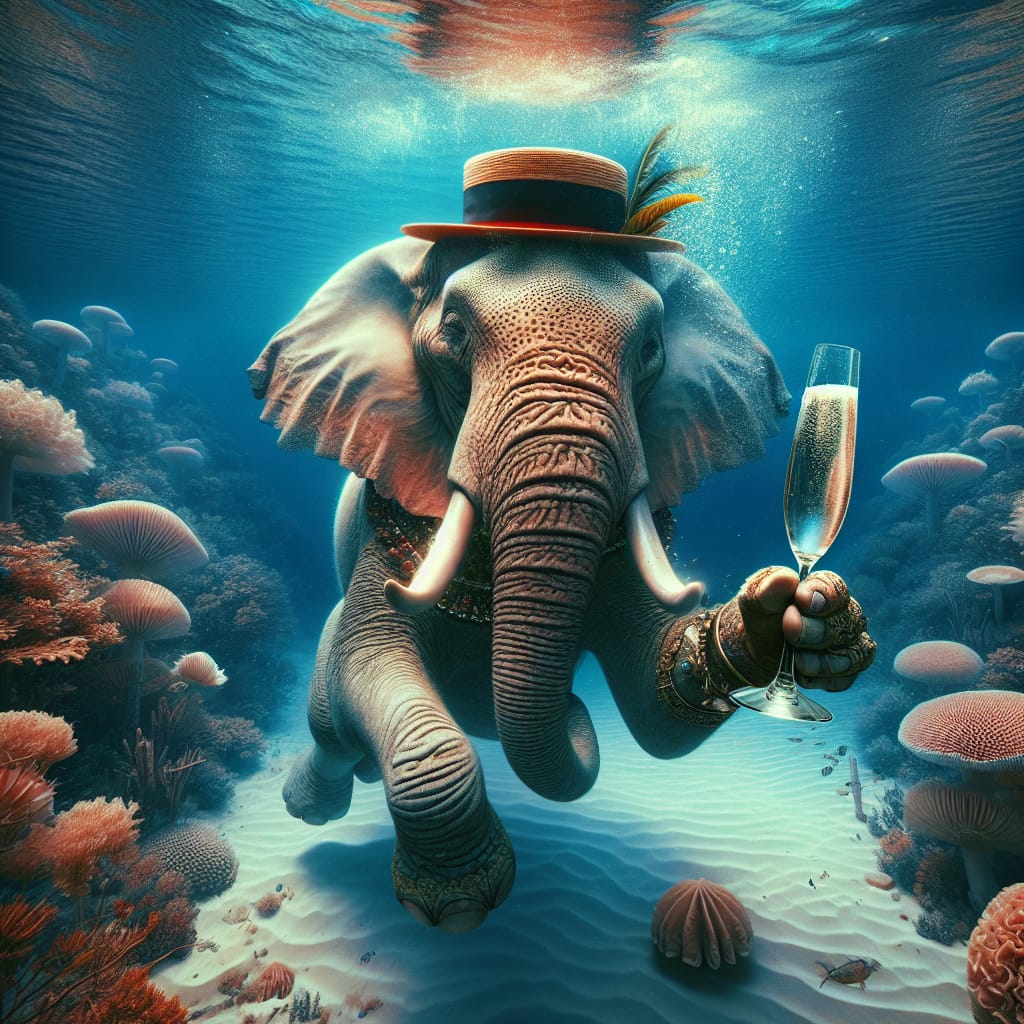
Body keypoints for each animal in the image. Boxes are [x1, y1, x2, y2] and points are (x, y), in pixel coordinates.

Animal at [249, 228, 876, 933]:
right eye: (454, 332)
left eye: (650, 348)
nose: (579, 718)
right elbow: (369, 660)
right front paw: (459, 905)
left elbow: (656, 698)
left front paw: (807, 624)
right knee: (330, 721)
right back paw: (311, 805)